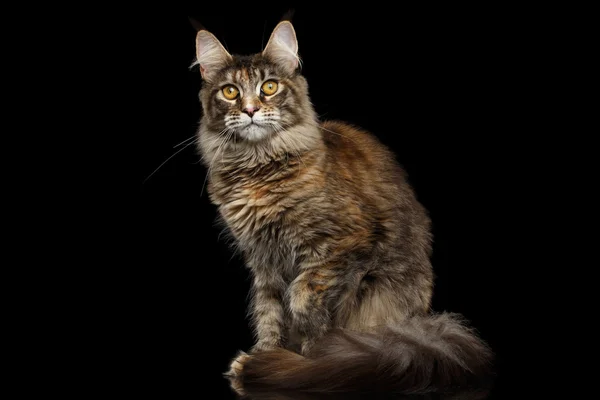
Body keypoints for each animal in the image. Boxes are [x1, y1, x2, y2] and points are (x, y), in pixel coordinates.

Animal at [192, 17, 492, 398]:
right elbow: (269, 312)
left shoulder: (343, 244)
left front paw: (308, 360)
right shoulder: (263, 260)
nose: (249, 110)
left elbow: (302, 298)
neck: (258, 169)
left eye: (269, 87)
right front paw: (268, 353)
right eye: (230, 92)